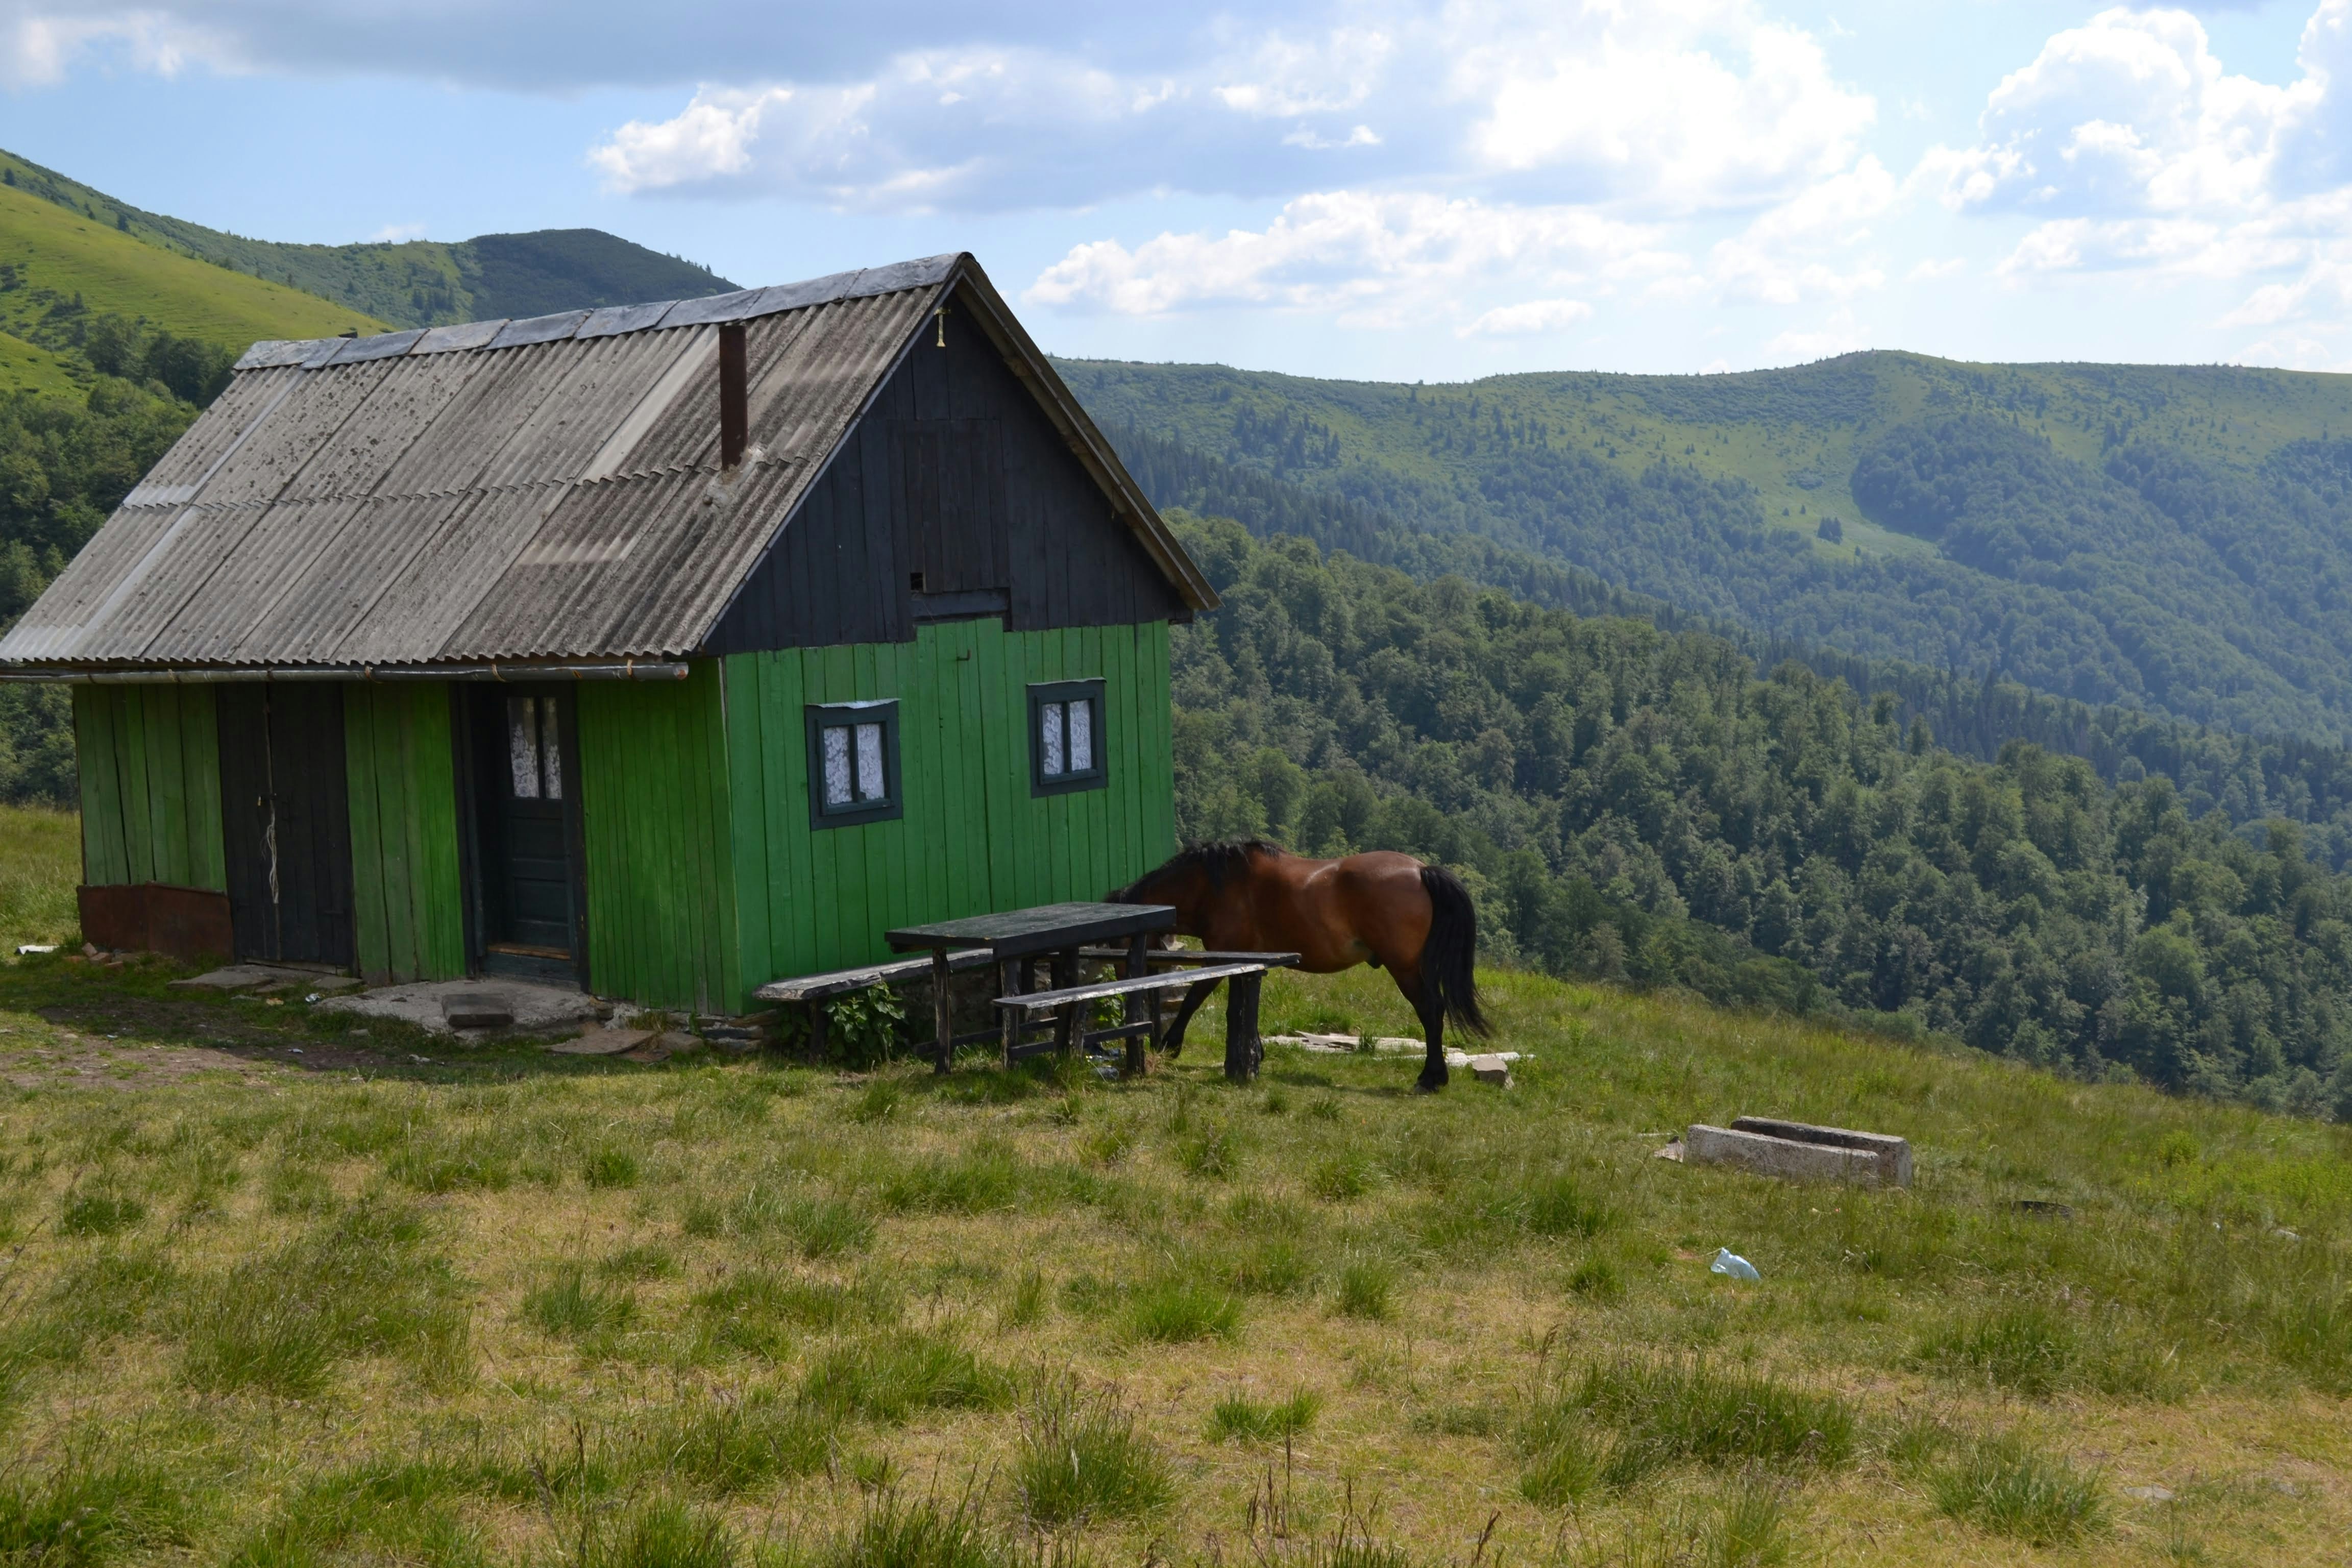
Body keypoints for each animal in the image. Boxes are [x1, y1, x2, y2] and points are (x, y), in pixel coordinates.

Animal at [1108, 839, 1488, 1091]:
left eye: (1119, 942)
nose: (1123, 985)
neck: (1214, 887)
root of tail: (1421, 871)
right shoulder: (1245, 961)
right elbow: (1243, 1011)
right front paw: (1255, 1052)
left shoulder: (1224, 956)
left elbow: (1196, 999)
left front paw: (1169, 1043)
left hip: (1405, 968)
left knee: (1431, 1011)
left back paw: (1431, 1077)